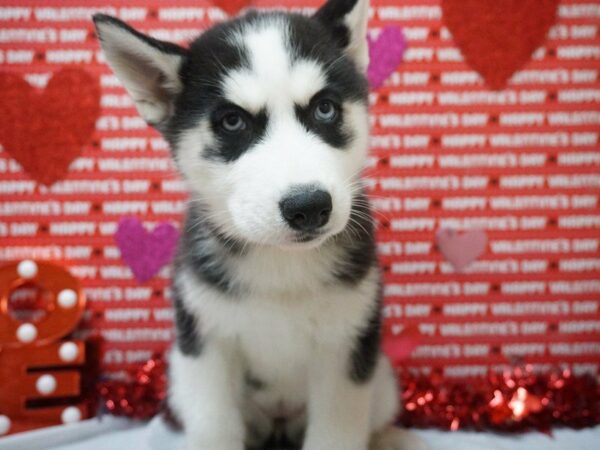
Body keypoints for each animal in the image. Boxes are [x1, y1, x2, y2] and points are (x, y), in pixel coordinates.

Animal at [94, 1, 426, 448]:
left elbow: (337, 430)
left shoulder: (347, 347)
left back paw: (393, 437)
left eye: (325, 108)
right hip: (181, 377)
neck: (280, 263)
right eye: (232, 122)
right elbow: (214, 427)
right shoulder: (206, 344)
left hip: (382, 380)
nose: (309, 206)